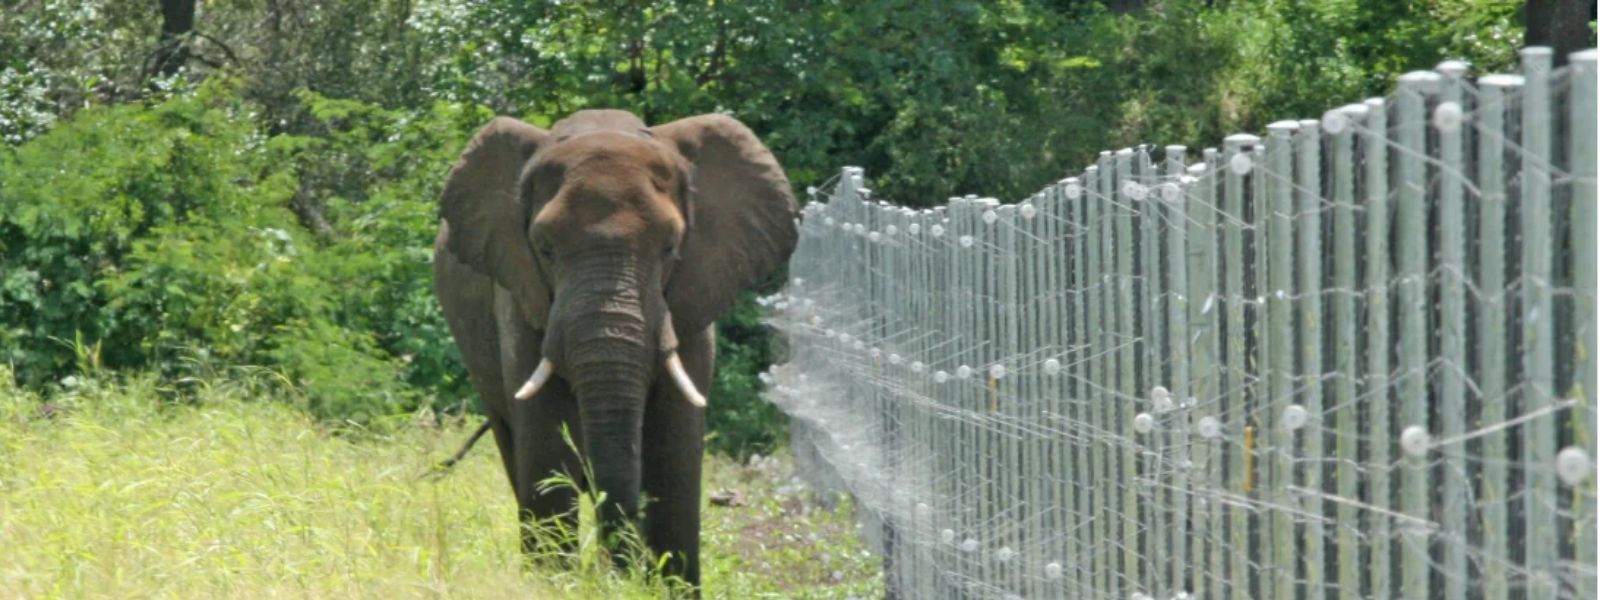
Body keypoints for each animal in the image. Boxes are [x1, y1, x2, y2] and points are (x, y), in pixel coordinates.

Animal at [432, 109, 798, 588]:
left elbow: (674, 456)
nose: (617, 575)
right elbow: (548, 452)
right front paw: (555, 585)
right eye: (545, 249)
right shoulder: (519, 296)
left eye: (670, 247)